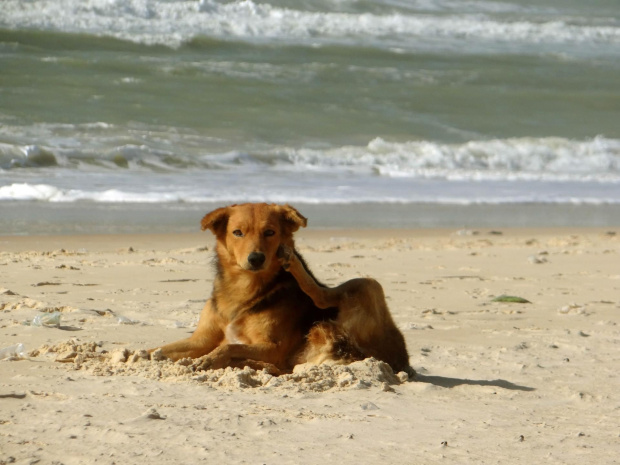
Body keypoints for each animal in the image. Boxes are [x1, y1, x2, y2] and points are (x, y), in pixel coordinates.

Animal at [151, 201, 412, 376]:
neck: (243, 288)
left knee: (323, 297)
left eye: (270, 232)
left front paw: (209, 360)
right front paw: (146, 353)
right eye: (237, 233)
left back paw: (292, 260)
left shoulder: (272, 346)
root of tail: (401, 362)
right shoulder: (202, 339)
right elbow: (166, 348)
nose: (256, 258)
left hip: (367, 285)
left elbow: (229, 346)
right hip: (300, 361)